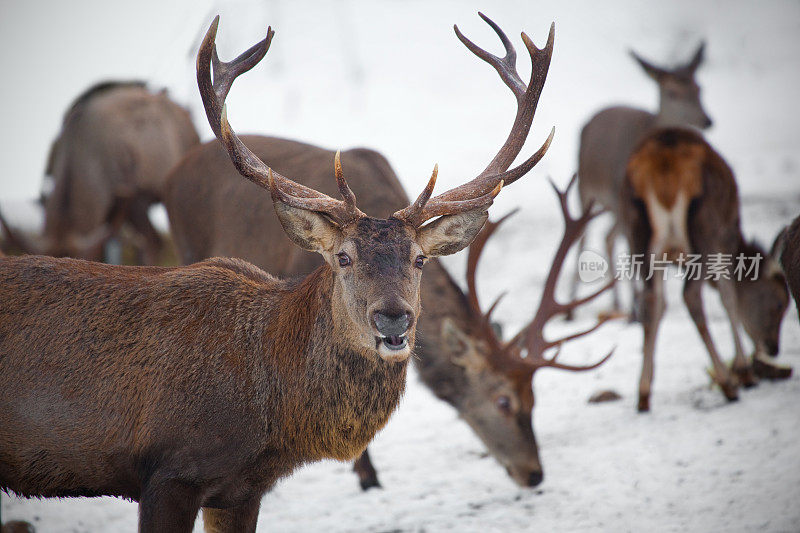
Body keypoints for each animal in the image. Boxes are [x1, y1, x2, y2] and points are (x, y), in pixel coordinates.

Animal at [0, 14, 552, 528]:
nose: (393, 318)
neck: (268, 412)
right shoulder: (168, 471)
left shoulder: (239, 488)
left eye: (420, 259)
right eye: (342, 257)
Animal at [568, 42, 712, 316]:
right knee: (583, 237)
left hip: (614, 206)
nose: (707, 120)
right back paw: (574, 308)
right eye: (672, 92)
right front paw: (637, 309)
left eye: (700, 88)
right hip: (587, 191)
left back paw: (619, 303)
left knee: (609, 238)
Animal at [620, 125, 788, 412]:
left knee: (651, 300)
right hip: (704, 229)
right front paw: (744, 372)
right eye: (780, 303)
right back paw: (728, 384)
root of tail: (663, 164)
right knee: (691, 295)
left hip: (636, 233)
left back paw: (643, 394)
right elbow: (729, 297)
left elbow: (661, 306)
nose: (773, 347)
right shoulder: (725, 238)